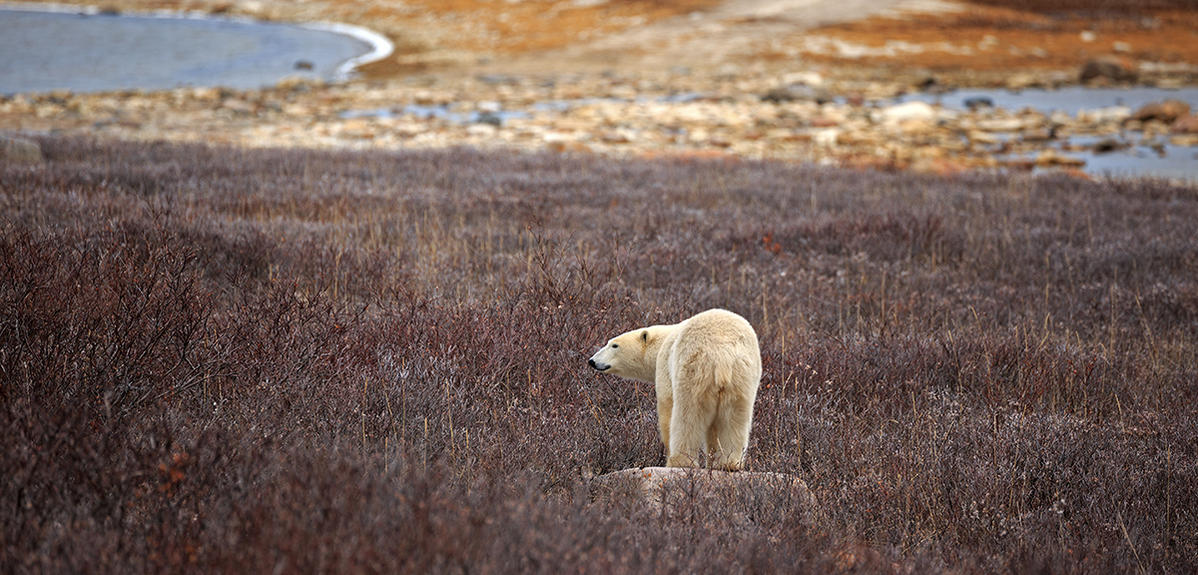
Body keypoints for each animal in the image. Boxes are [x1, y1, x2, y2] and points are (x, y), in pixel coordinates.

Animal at [587, 306, 757, 469]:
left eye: (614, 345)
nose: (592, 361)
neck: (663, 340)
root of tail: (723, 354)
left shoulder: (665, 364)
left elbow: (666, 407)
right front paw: (712, 462)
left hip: (694, 369)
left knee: (687, 415)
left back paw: (680, 461)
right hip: (742, 378)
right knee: (735, 419)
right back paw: (729, 463)